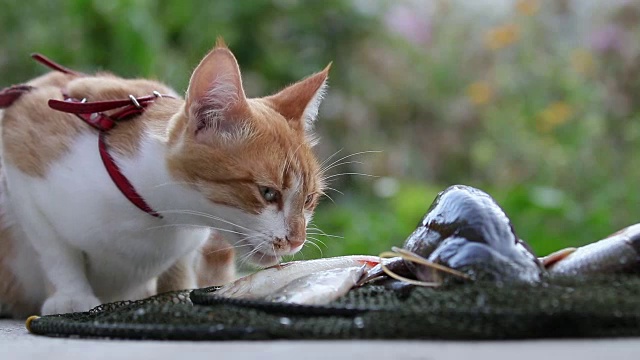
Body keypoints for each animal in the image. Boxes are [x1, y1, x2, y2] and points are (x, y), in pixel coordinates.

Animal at [0, 40, 330, 318]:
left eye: (309, 199)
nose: (297, 240)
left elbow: (179, 267)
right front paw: (71, 295)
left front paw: (177, 293)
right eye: (268, 193)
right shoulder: (19, 153)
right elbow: (54, 248)